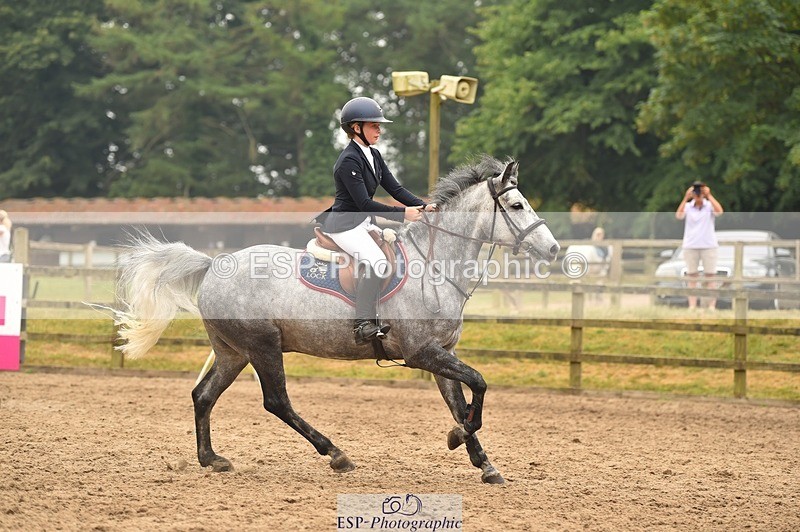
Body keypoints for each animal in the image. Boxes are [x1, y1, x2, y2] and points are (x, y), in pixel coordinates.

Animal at [113, 155, 560, 484]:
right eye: (517, 206)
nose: (554, 249)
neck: (434, 266)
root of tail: (213, 265)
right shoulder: (422, 352)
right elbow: (478, 386)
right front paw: (457, 439)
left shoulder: (441, 351)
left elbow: (460, 401)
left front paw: (484, 463)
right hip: (262, 345)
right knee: (276, 401)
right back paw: (336, 454)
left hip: (233, 352)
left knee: (203, 396)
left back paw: (211, 459)